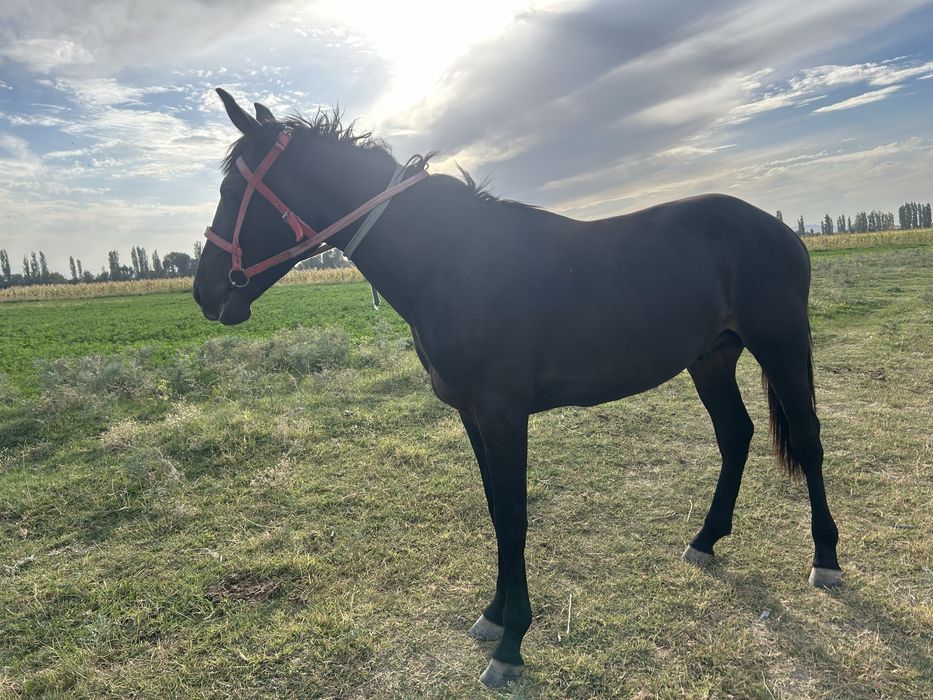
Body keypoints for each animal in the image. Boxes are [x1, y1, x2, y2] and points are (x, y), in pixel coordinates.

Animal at [193, 88, 842, 689]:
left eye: (231, 192)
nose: (205, 292)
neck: (451, 262)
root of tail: (781, 230)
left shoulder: (504, 414)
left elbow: (513, 515)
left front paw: (511, 646)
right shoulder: (473, 415)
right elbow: (495, 510)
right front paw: (494, 614)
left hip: (780, 346)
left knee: (808, 440)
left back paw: (826, 559)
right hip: (711, 359)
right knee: (736, 434)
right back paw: (705, 540)